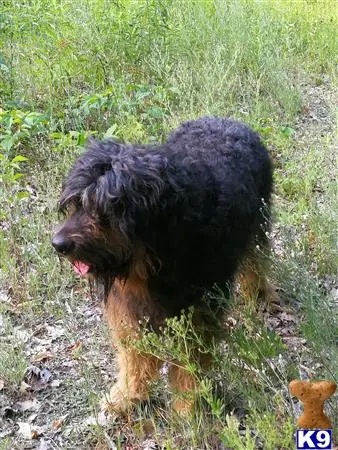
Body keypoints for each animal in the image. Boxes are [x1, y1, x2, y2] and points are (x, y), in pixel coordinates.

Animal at [52, 117, 274, 414]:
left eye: (103, 209)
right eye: (76, 203)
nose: (58, 244)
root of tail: (227, 120)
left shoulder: (197, 315)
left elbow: (189, 365)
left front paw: (187, 407)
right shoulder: (130, 308)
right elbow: (135, 358)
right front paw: (127, 395)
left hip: (257, 225)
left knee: (255, 263)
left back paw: (259, 295)